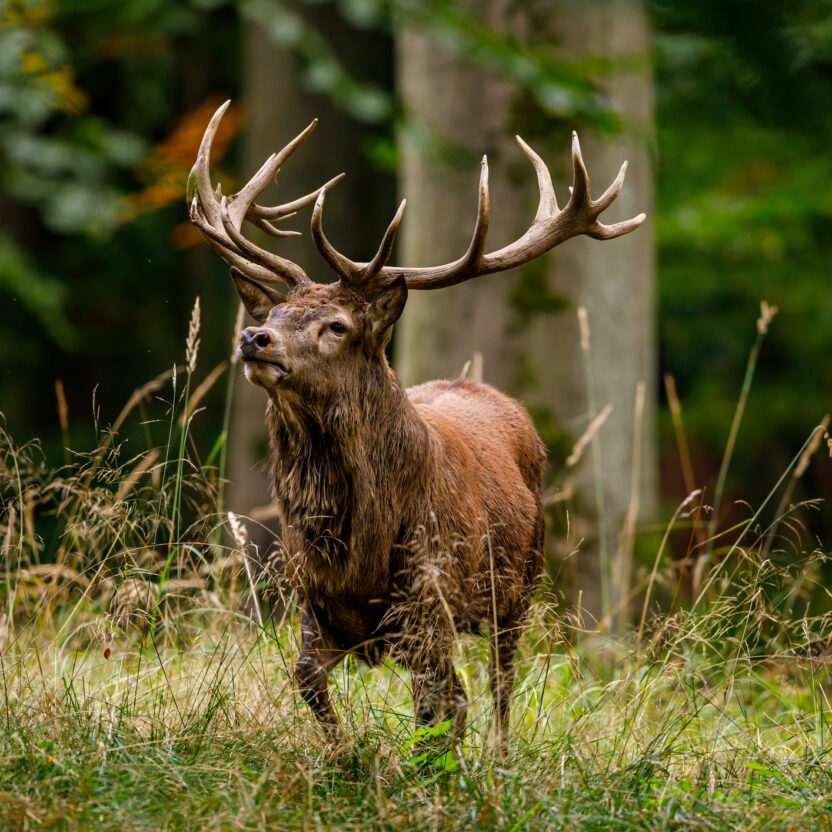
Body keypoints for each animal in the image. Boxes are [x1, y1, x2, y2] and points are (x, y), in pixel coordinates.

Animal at [188, 101, 645, 745]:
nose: (254, 338)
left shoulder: (431, 598)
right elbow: (307, 678)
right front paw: (346, 756)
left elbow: (440, 706)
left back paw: (500, 754)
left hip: (521, 582)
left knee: (499, 683)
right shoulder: (315, 602)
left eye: (336, 326)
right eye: (274, 312)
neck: (357, 552)